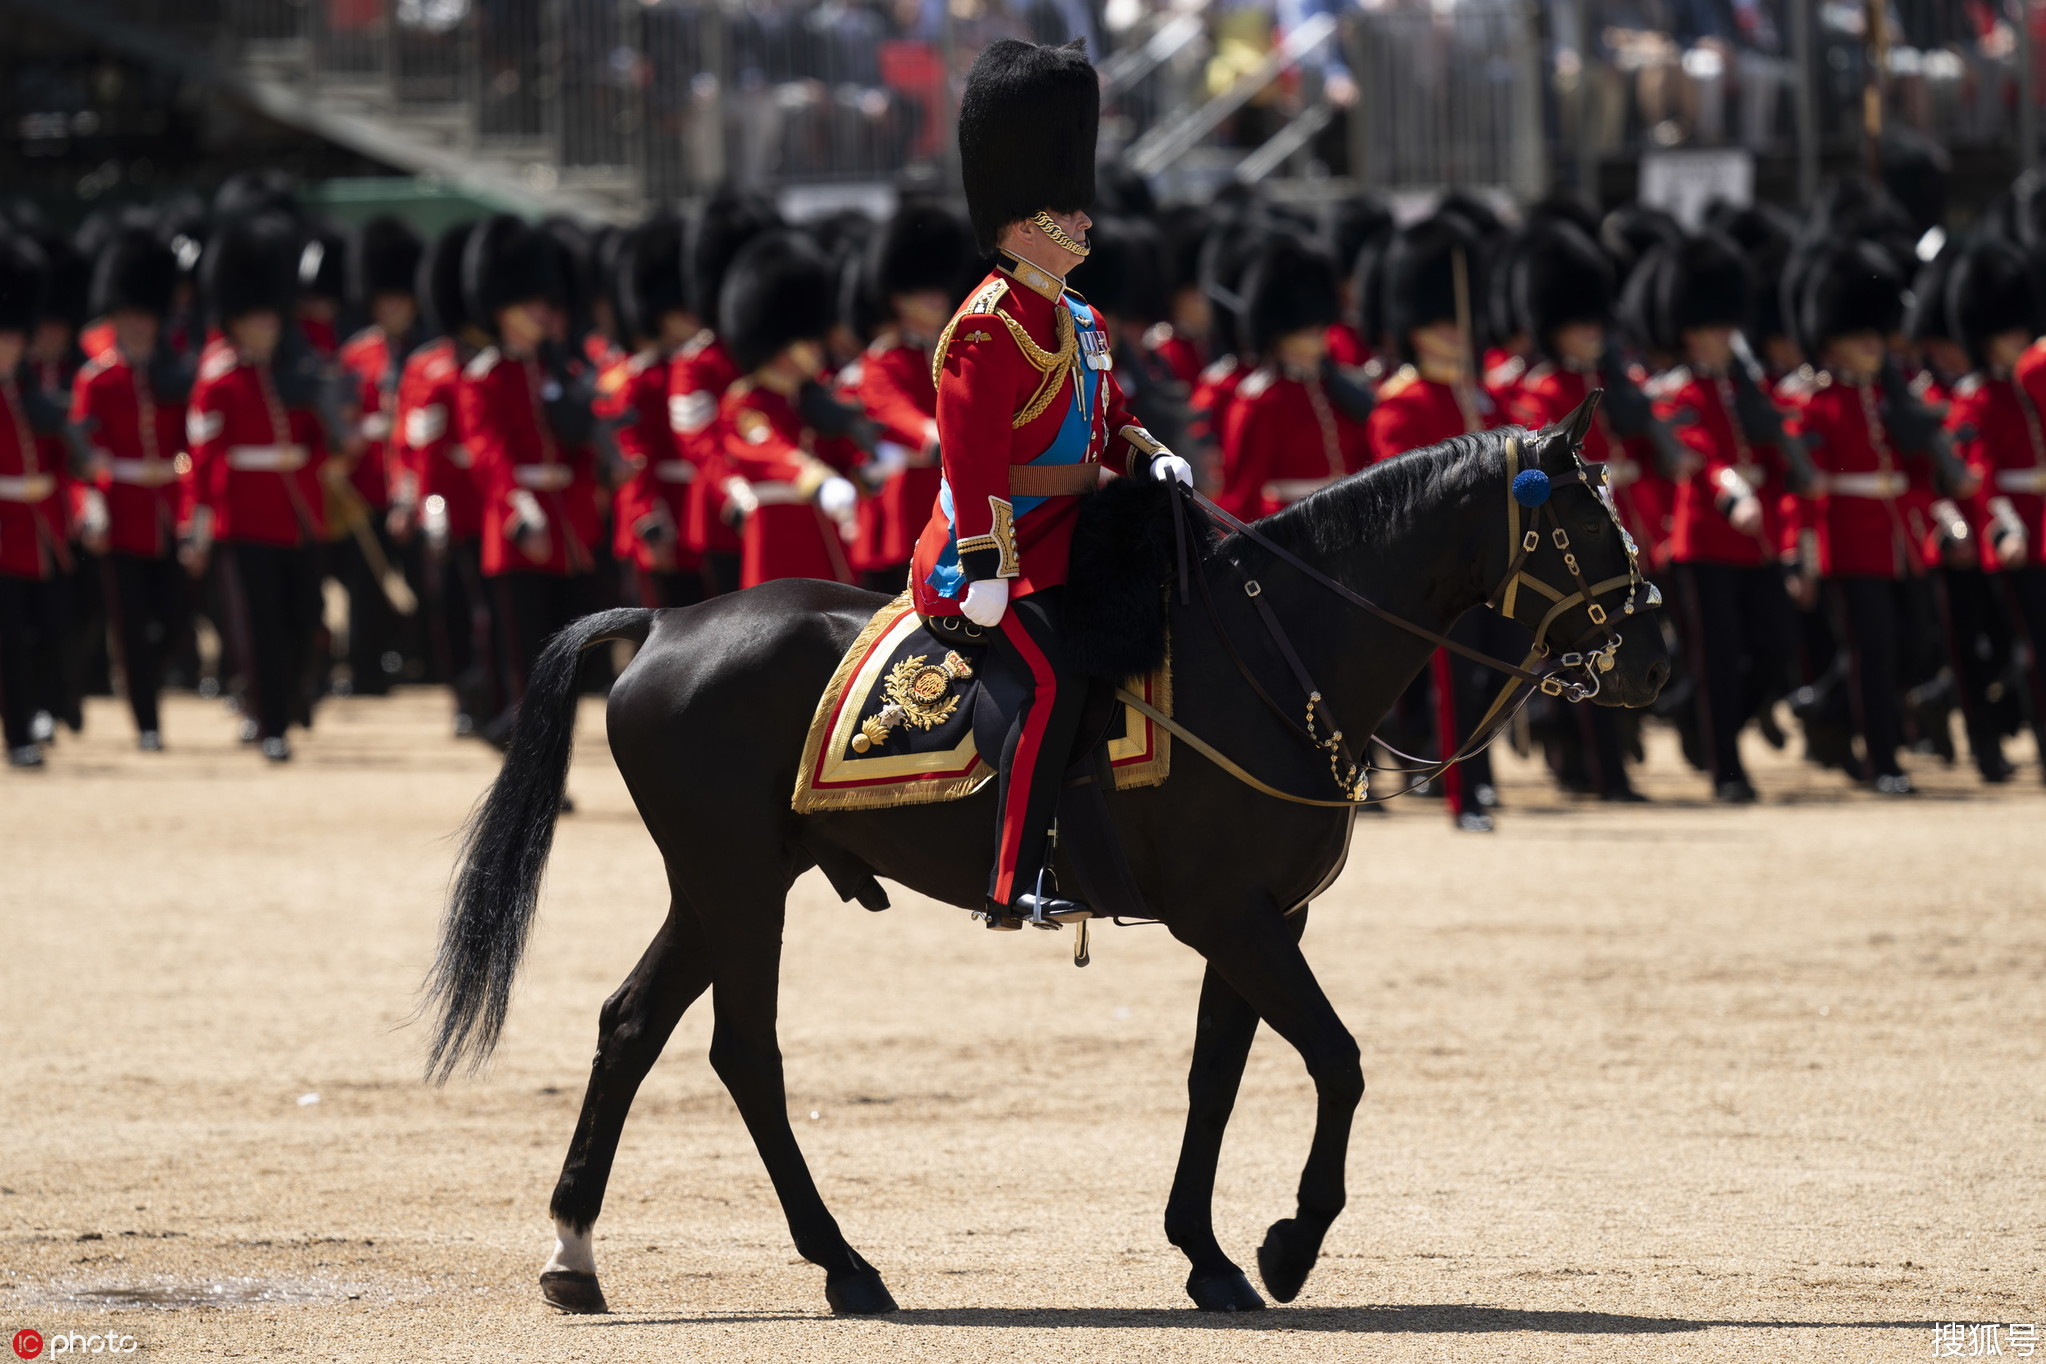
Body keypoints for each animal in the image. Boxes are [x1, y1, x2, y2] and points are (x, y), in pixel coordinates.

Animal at [423, 400, 1669, 1316]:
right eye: (1591, 525)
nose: (1655, 659)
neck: (1271, 655)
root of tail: (668, 623)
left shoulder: (1261, 916)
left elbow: (1217, 1075)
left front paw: (1207, 1251)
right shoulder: (1234, 912)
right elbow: (1339, 1059)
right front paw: (1289, 1243)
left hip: (728, 882)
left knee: (635, 1025)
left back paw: (582, 1253)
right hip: (734, 884)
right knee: (744, 1053)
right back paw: (842, 1263)